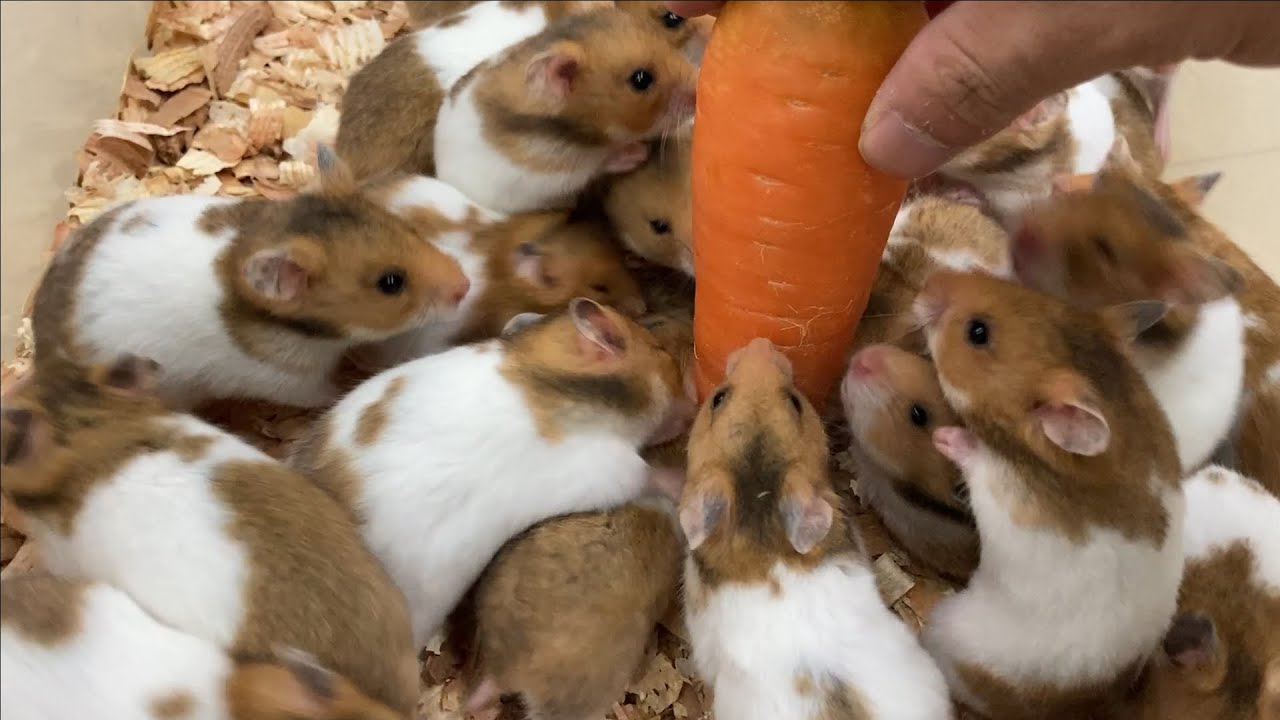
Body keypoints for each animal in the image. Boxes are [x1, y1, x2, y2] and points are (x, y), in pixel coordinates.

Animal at [31, 149, 470, 411]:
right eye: (390, 283)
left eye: (407, 228)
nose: (464, 285)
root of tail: (40, 348)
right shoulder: (288, 381)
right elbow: (323, 393)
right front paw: (351, 383)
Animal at [291, 298, 696, 646]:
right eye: (660, 352)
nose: (692, 410)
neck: (550, 378)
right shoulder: (604, 468)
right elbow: (648, 474)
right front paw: (681, 479)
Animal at [913, 270, 1184, 720]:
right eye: (1030, 293)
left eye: (978, 332)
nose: (929, 281)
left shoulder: (1001, 491)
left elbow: (976, 458)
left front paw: (946, 436)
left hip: (952, 631)